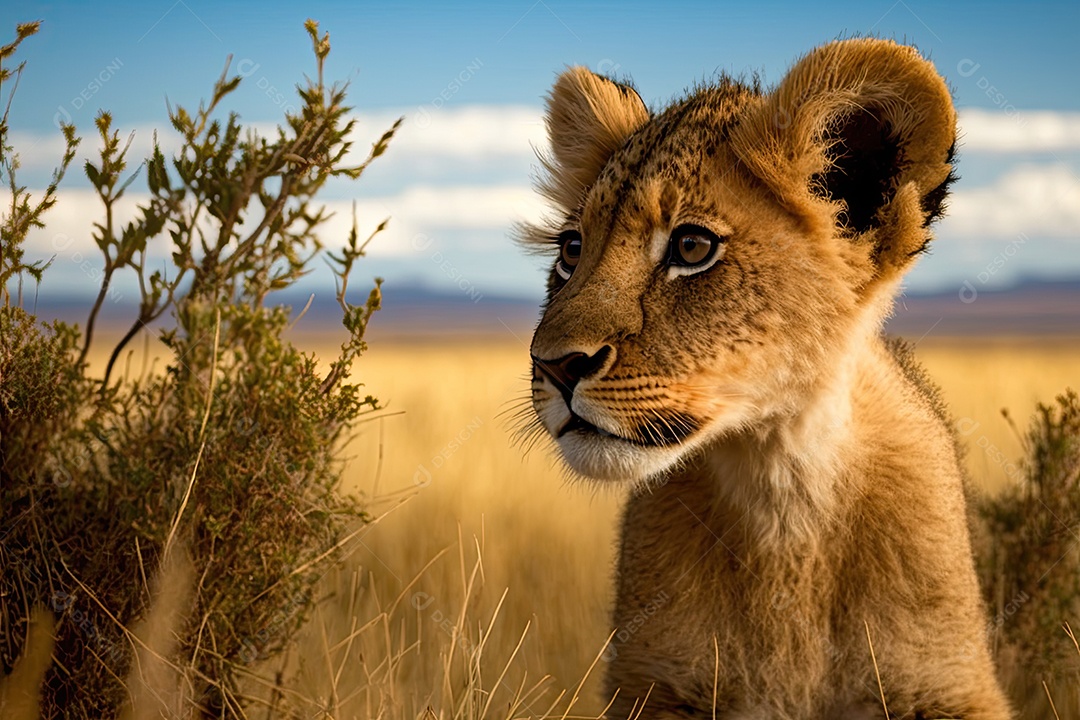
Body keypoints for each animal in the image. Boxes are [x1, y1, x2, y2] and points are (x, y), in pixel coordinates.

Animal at [521, 38, 1012, 719]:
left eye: (691, 248)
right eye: (571, 250)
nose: (553, 364)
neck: (781, 481)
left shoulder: (944, 684)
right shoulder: (654, 685)